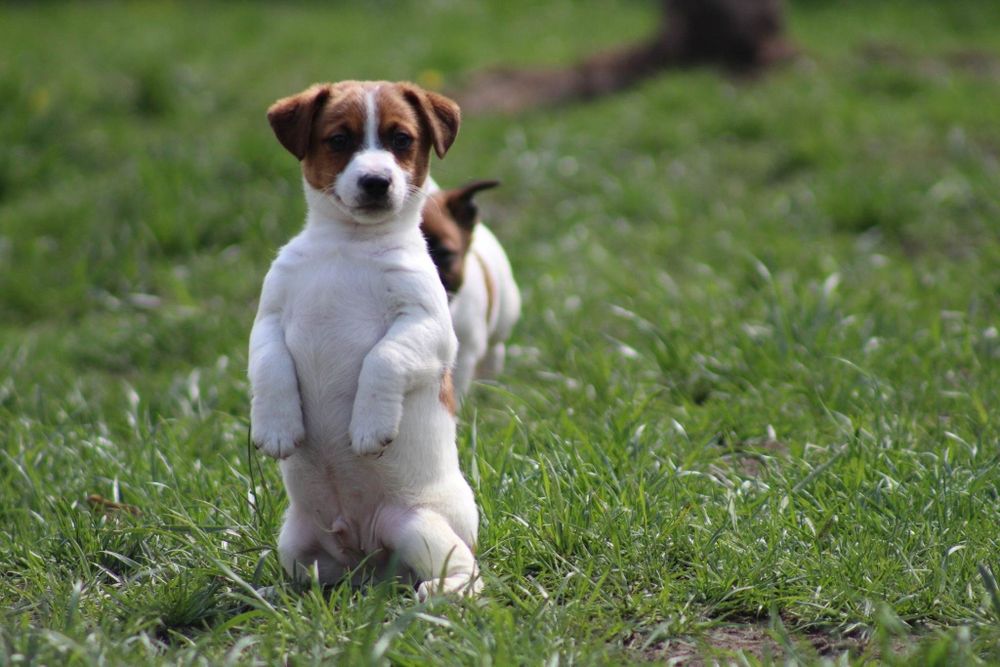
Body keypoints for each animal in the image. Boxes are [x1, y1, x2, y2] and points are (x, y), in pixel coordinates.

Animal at [250, 79, 484, 600]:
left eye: (401, 140)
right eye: (339, 140)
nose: (376, 181)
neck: (349, 245)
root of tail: (370, 564)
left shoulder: (426, 326)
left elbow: (384, 357)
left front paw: (369, 425)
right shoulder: (269, 318)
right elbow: (269, 365)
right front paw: (277, 427)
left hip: (417, 526)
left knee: (470, 571)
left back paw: (443, 592)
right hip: (295, 542)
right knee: (318, 578)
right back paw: (281, 594)